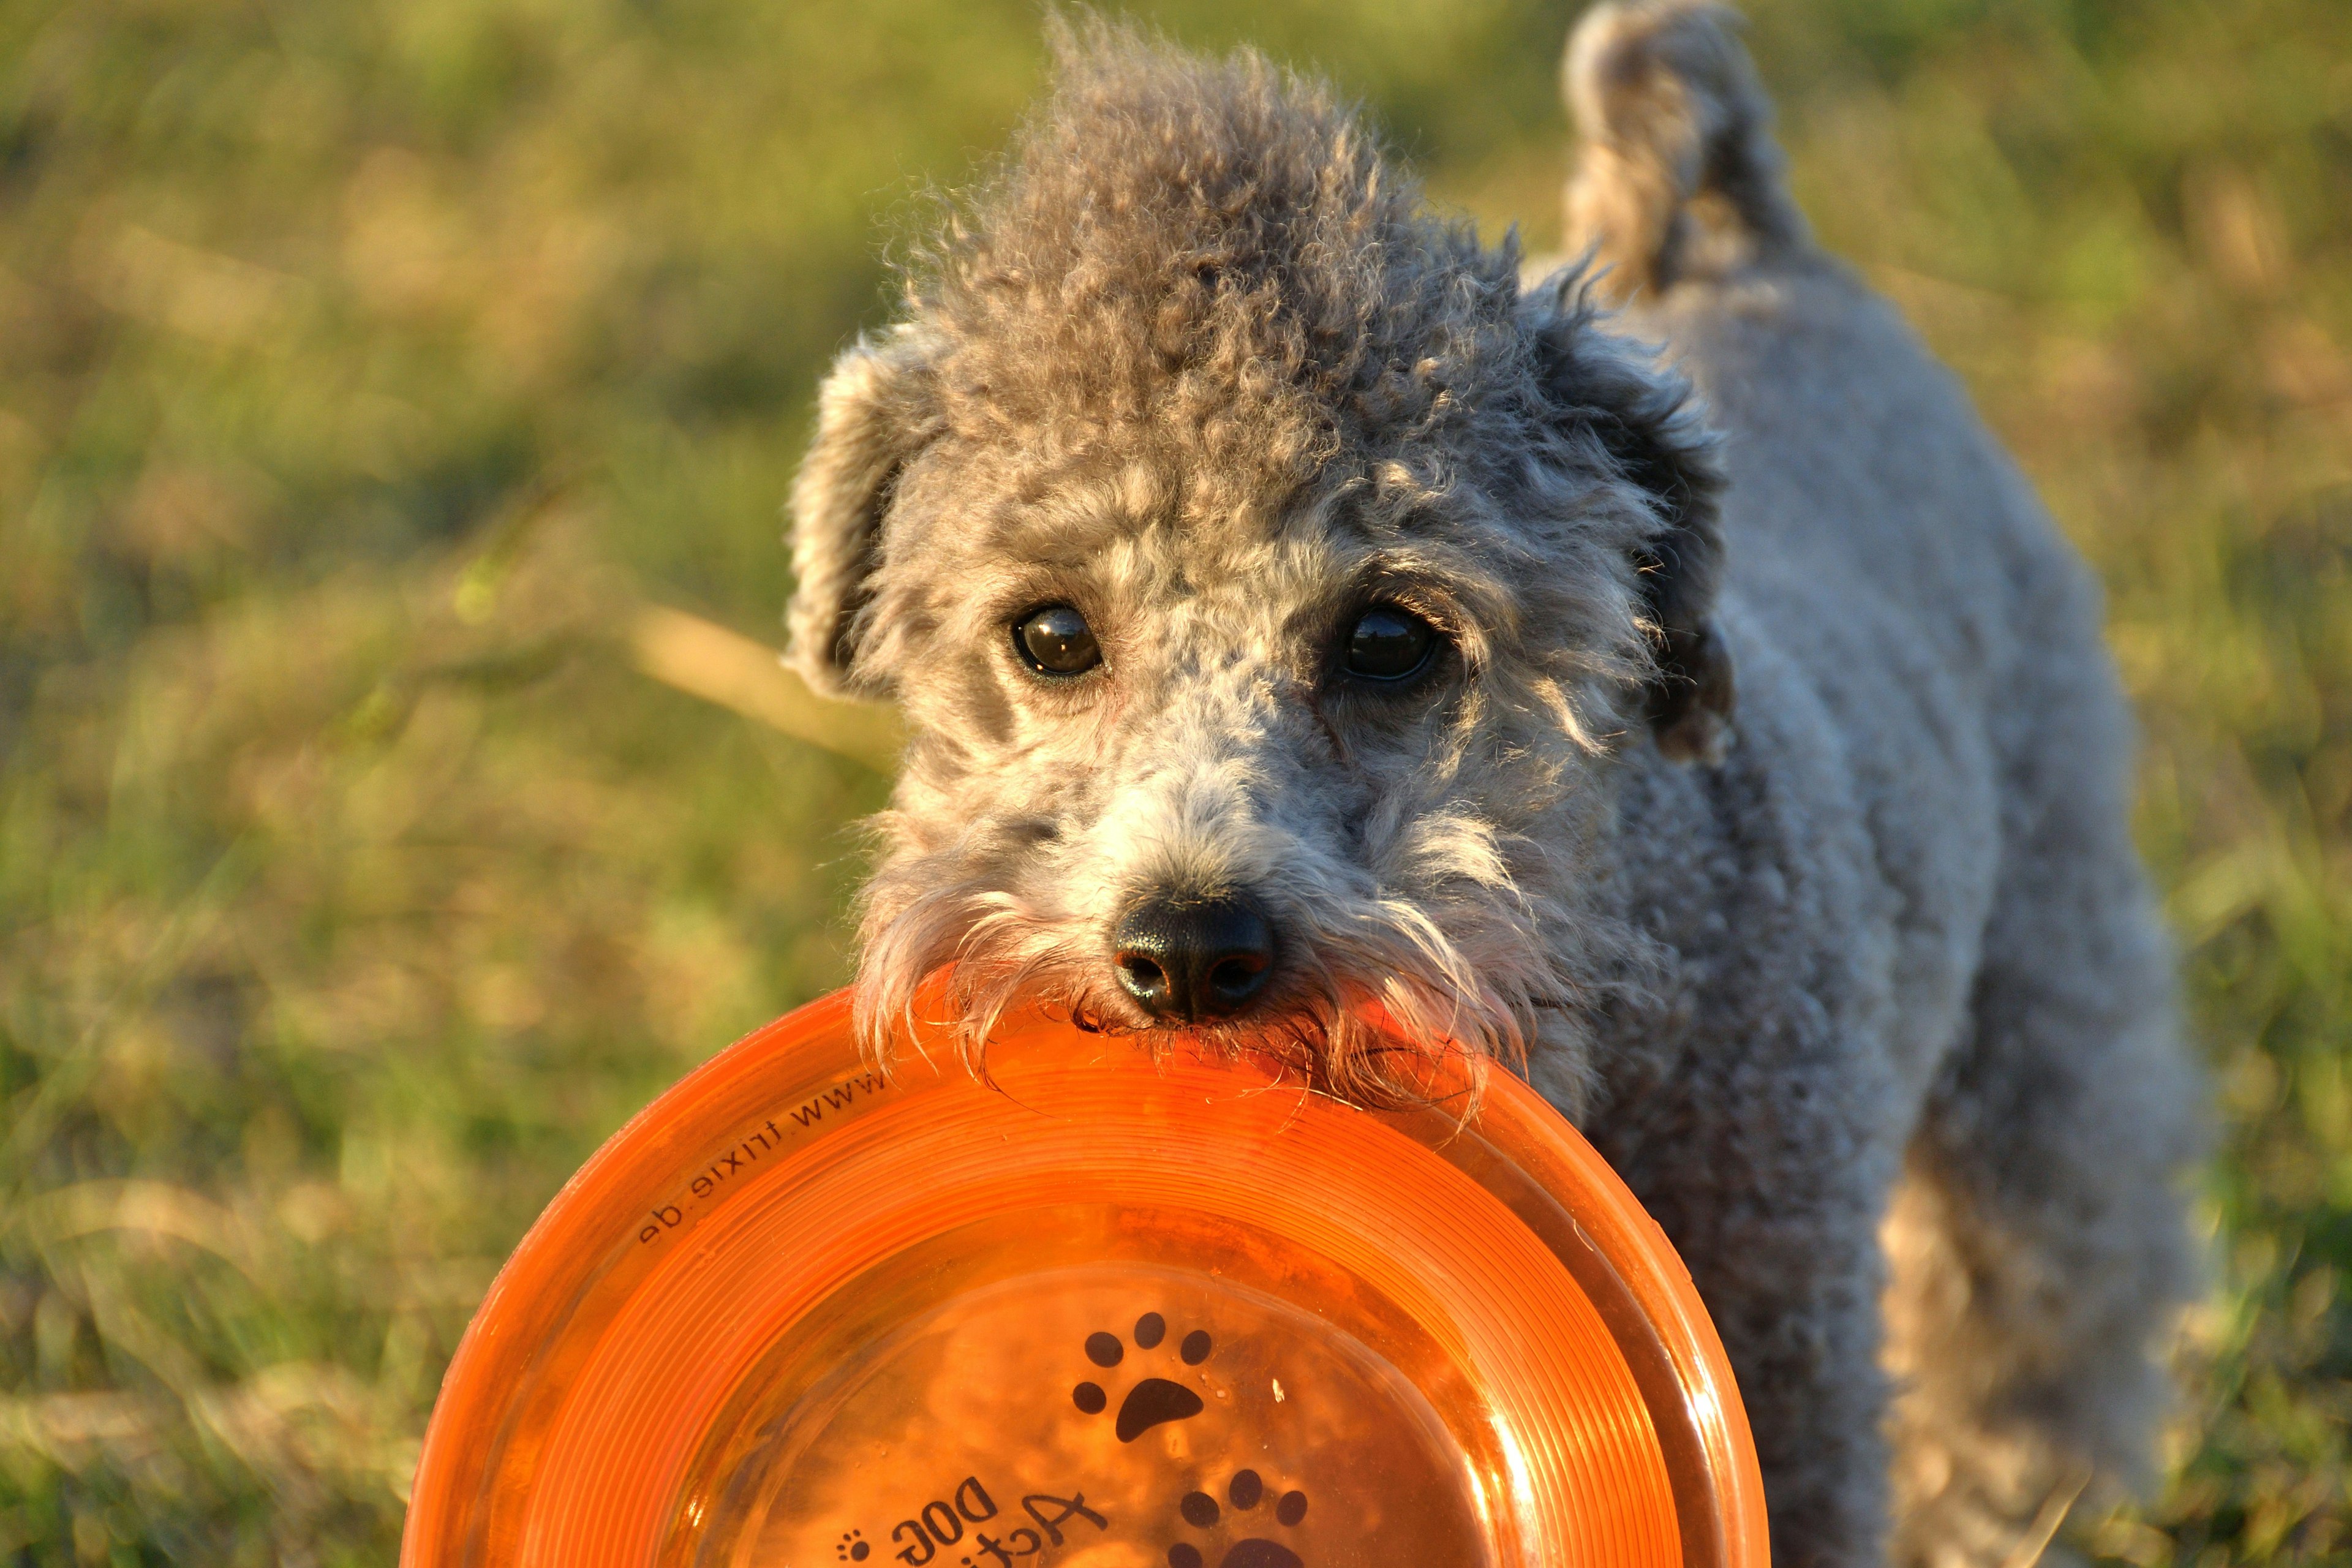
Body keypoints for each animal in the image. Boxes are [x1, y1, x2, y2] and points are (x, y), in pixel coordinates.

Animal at [790, 6, 2201, 1561]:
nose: (1187, 947)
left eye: (1389, 637)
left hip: (2042, 971)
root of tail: (1724, 243)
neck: (1611, 945)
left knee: (2044, 1276)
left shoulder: (1781, 1353)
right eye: (1049, 633)